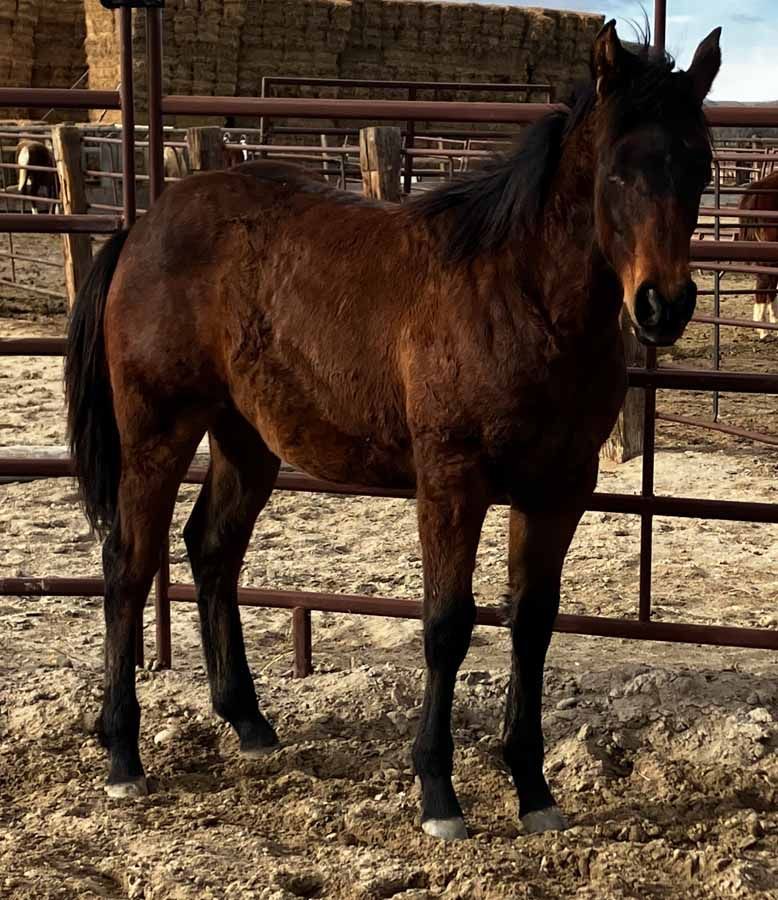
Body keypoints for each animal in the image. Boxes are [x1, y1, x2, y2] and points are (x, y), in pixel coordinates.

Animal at [64, 22, 720, 840]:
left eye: (700, 164)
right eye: (619, 169)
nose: (664, 305)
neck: (519, 296)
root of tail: (140, 226)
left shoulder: (559, 488)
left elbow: (532, 622)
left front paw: (532, 787)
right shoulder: (451, 481)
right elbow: (446, 624)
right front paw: (438, 793)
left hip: (246, 440)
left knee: (211, 549)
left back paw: (248, 723)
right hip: (157, 431)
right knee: (128, 562)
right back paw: (123, 754)